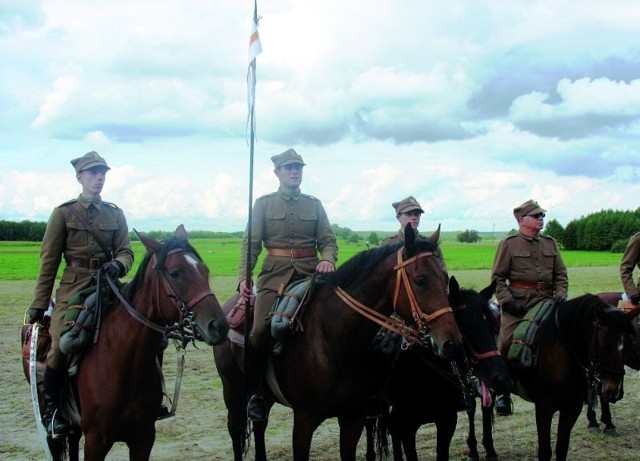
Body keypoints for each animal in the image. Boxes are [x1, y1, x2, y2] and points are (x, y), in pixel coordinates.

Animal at [22, 224, 230, 460]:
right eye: (175, 273)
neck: (123, 362)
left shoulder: (143, 438)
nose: (219, 326)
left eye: (204, 270)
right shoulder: (96, 440)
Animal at [212, 225, 462, 458]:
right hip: (232, 391)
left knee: (260, 425)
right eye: (420, 281)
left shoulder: (353, 418)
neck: (334, 340)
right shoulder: (303, 422)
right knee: (236, 431)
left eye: (444, 278)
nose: (451, 343)